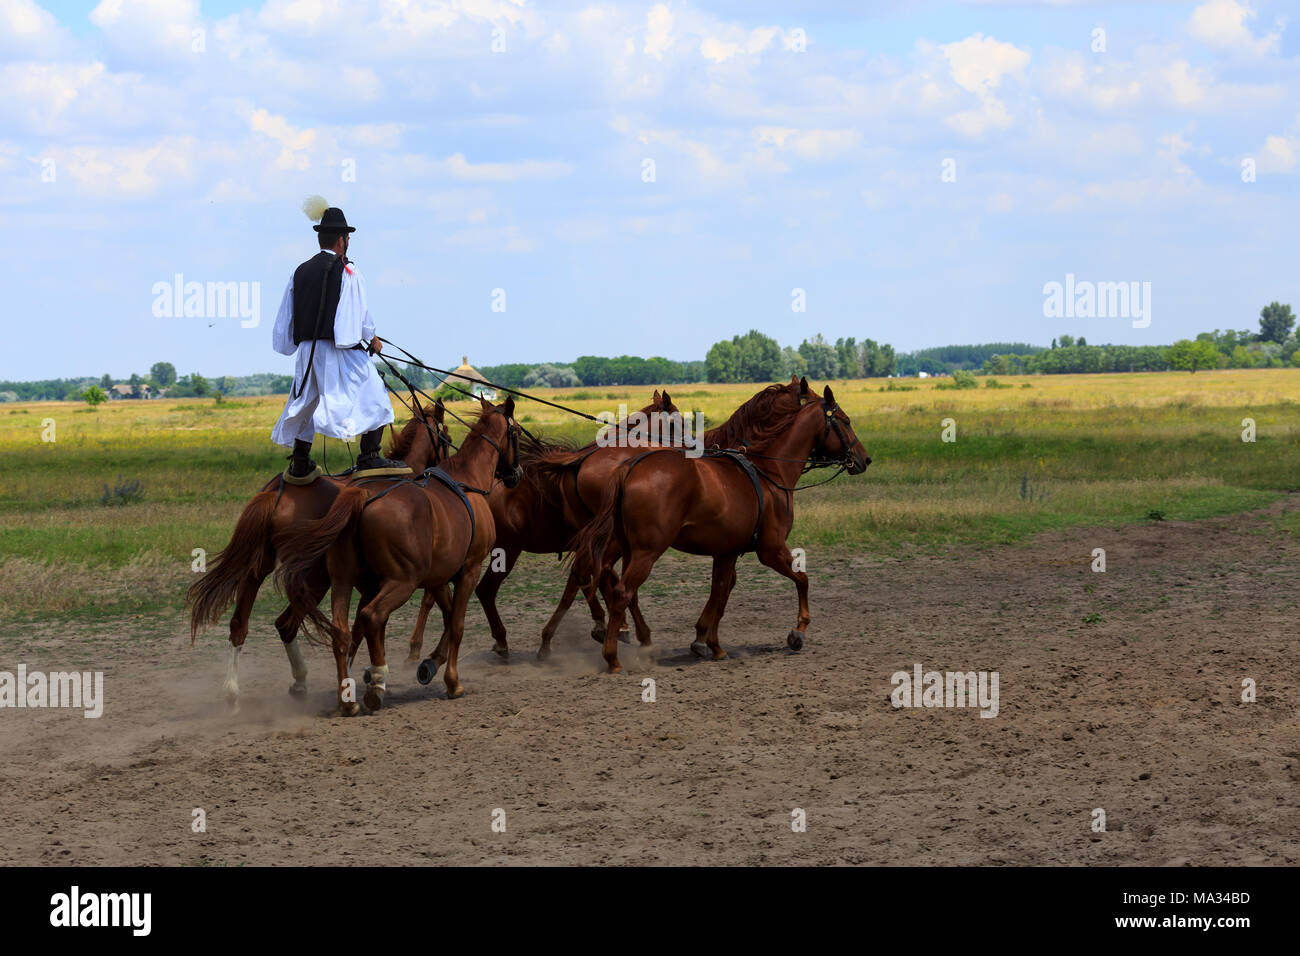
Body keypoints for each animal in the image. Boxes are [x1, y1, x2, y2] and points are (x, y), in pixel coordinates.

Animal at [180, 403, 449, 712]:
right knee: (289, 623)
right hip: (314, 577)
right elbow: (367, 623)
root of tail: (276, 494)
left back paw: (237, 692)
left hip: (260, 567)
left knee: (243, 625)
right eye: (446, 435)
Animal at [275, 395, 517, 712]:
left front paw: (429, 662)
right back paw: (374, 685)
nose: (516, 474)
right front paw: (451, 681)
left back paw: (346, 697)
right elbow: (457, 623)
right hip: (400, 581)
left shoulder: (435, 577)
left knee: (340, 630)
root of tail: (360, 496)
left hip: (341, 580)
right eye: (517, 433)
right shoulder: (468, 570)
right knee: (370, 616)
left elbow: (446, 616)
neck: (467, 480)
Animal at [574, 382, 868, 671]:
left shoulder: (727, 552)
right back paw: (613, 655)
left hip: (628, 548)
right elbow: (801, 579)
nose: (864, 459)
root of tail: (628, 468)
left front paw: (708, 642)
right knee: (619, 589)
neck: (770, 472)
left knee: (607, 580)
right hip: (646, 551)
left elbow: (720, 591)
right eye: (846, 420)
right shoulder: (771, 550)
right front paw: (798, 631)